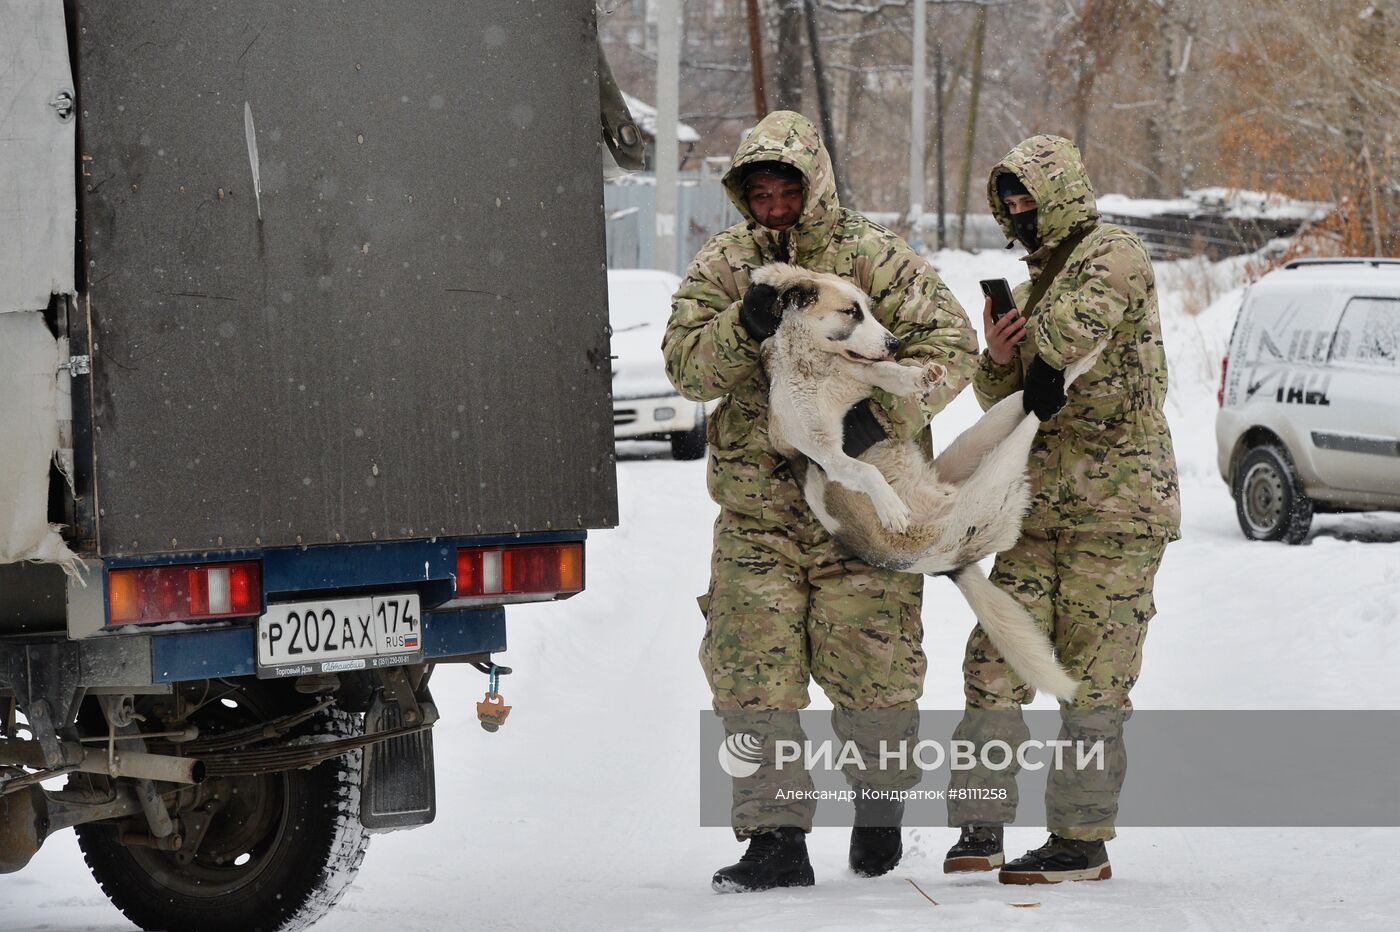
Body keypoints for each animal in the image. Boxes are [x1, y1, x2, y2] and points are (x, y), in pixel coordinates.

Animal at [750, 261, 1097, 696]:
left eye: (870, 308)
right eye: (851, 312)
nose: (895, 342)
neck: (820, 367)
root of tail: (945, 567)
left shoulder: (866, 376)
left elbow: (890, 375)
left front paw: (921, 376)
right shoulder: (823, 451)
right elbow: (862, 469)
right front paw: (890, 507)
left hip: (983, 439)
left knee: (1029, 399)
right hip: (994, 472)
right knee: (1037, 409)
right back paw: (1074, 368)